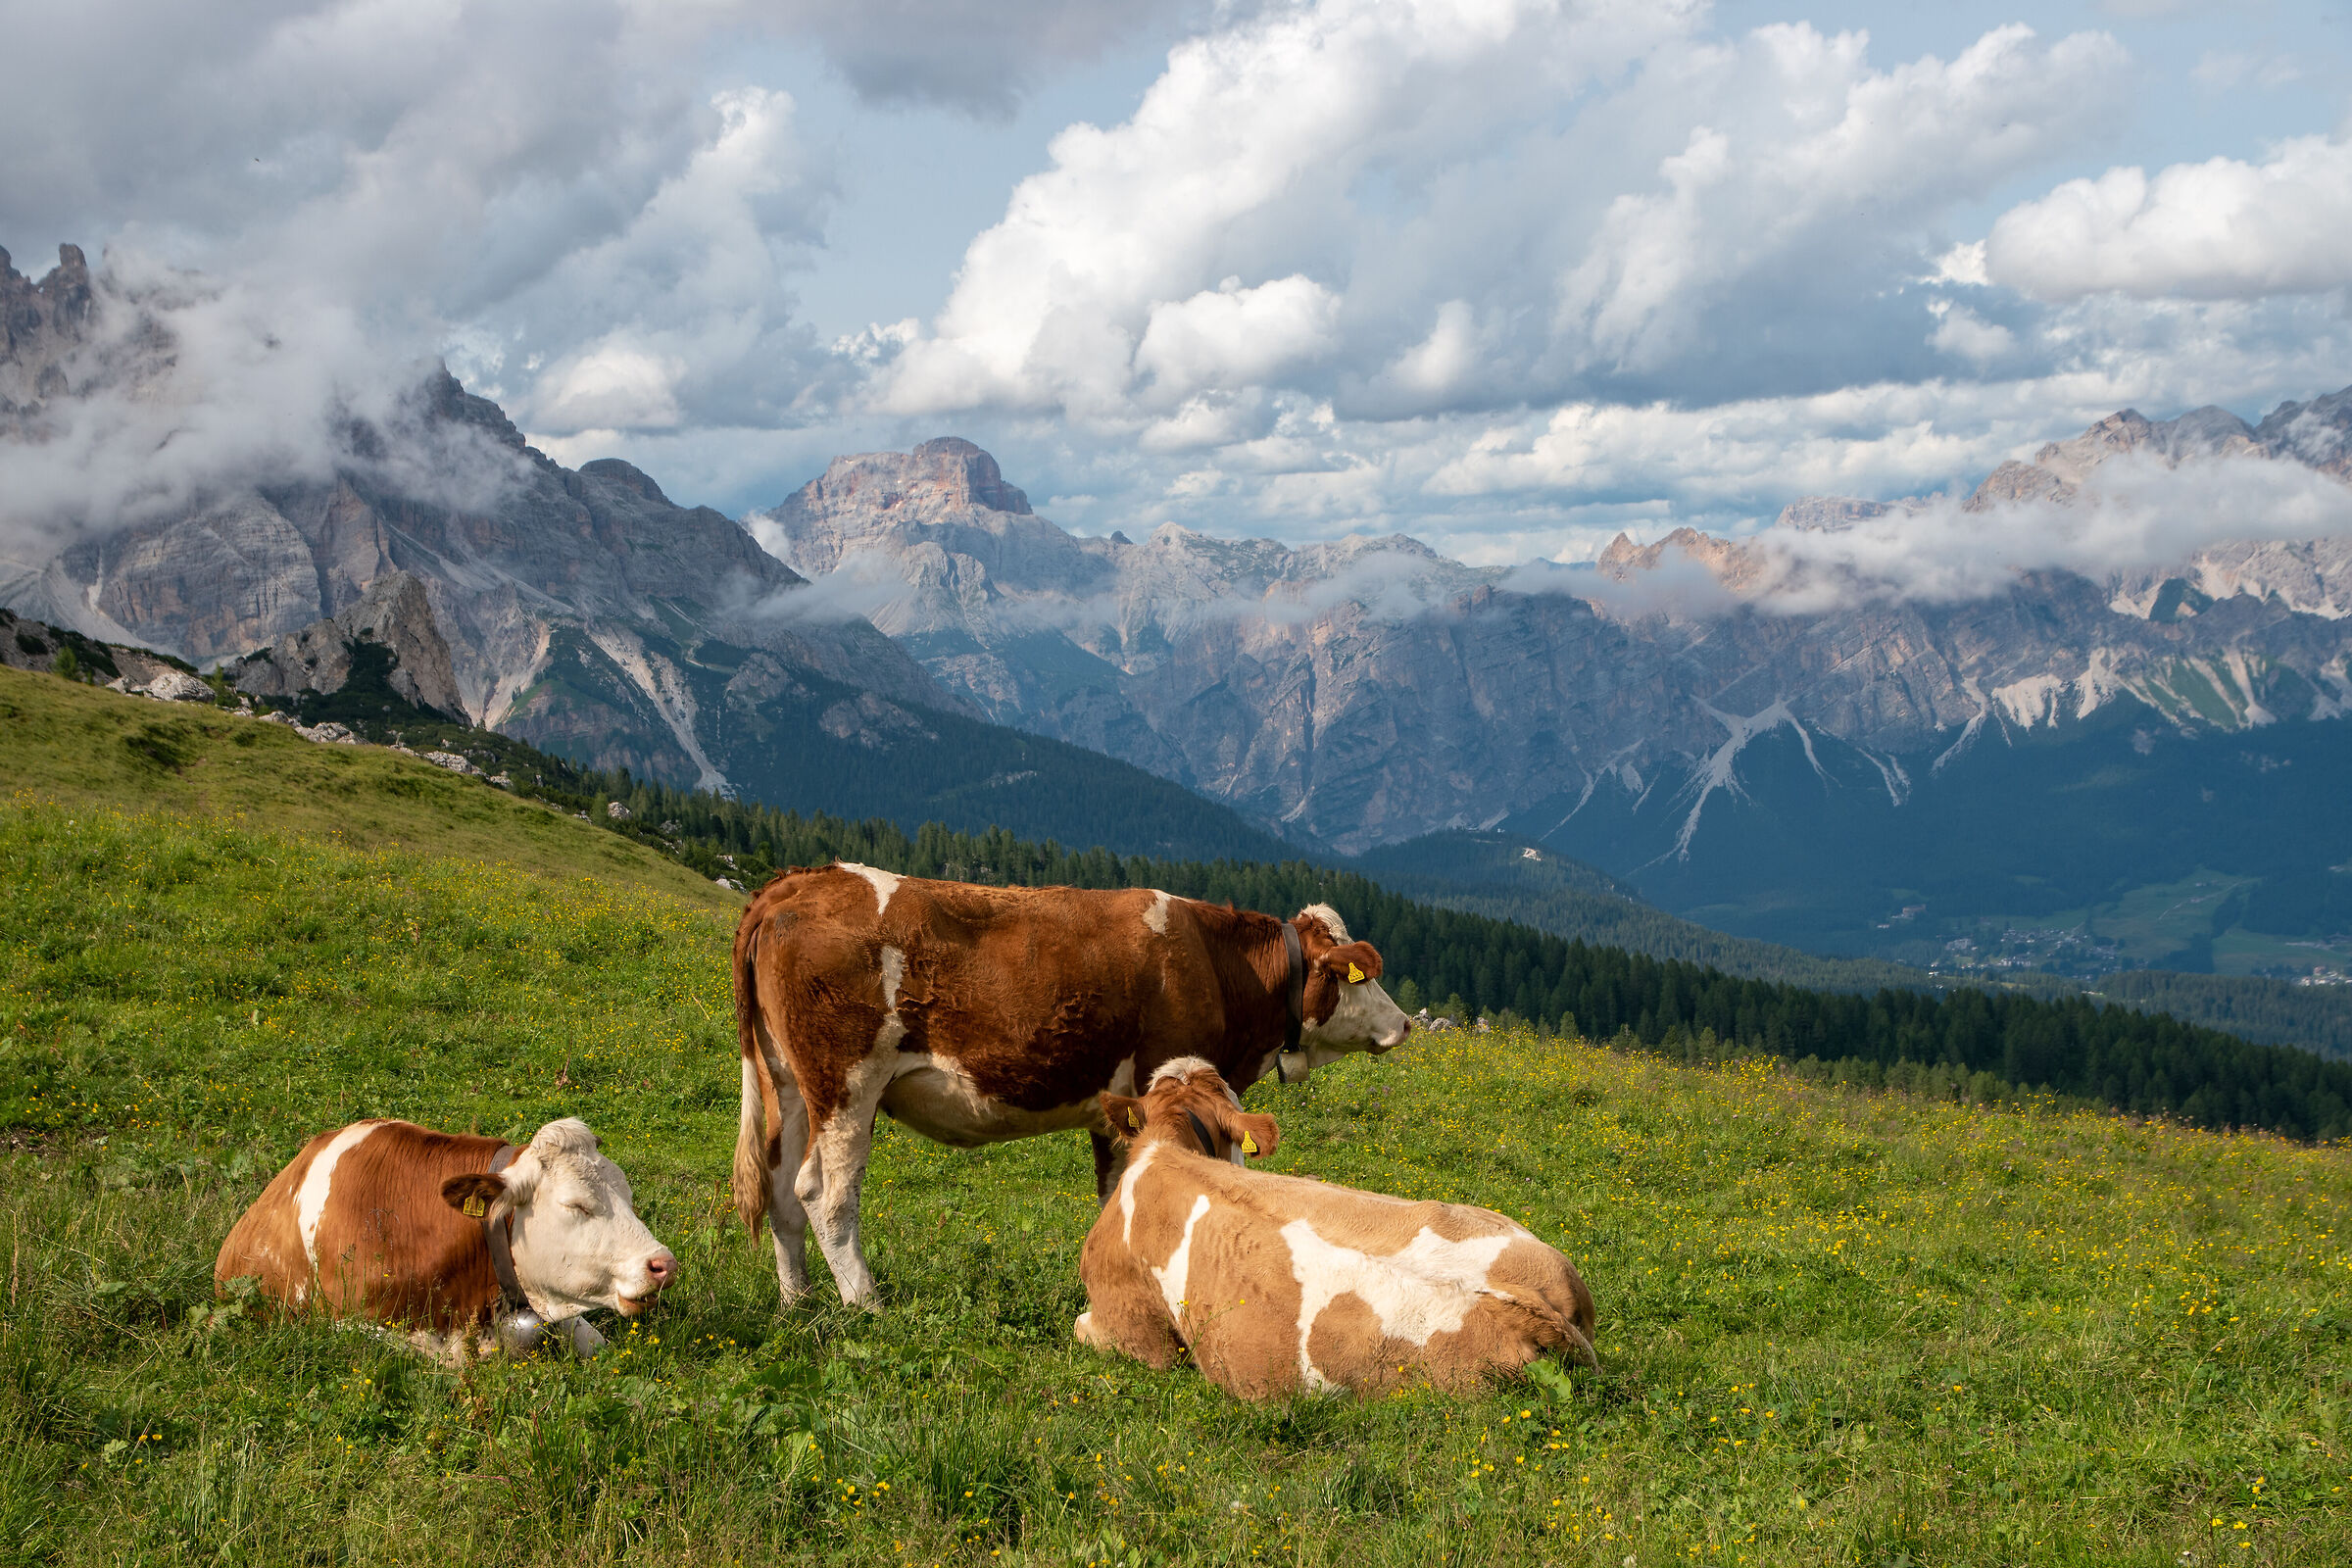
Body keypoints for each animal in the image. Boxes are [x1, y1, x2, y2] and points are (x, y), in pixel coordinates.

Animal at [730, 865, 1412, 1308]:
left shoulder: (1117, 1108)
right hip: (846, 1085)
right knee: (824, 1193)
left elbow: (1118, 1193)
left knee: (780, 1188)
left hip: (787, 1083)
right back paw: (865, 1303)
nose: (1405, 1022)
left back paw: (797, 1301)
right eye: (1359, 976)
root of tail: (800, 880)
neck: (1218, 965)